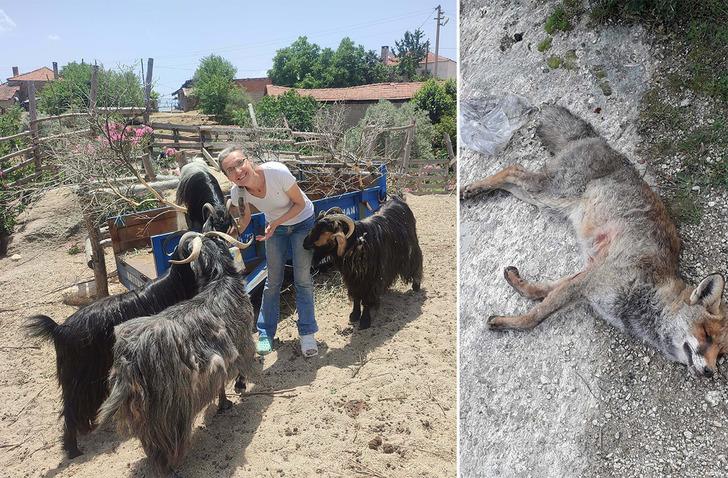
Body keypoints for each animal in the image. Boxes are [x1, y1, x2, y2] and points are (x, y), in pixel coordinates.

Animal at [96, 231, 256, 474]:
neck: (220, 279)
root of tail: (129, 360)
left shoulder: (218, 364)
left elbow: (219, 384)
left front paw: (223, 404)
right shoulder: (243, 340)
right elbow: (240, 369)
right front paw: (238, 389)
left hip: (144, 410)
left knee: (150, 442)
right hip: (168, 407)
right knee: (165, 443)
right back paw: (172, 466)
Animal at [302, 198, 426, 328]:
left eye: (324, 231)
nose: (304, 243)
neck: (358, 243)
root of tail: (397, 199)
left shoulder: (370, 279)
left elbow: (367, 299)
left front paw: (365, 321)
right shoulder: (352, 279)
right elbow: (356, 297)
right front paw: (354, 315)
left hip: (411, 246)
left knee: (417, 260)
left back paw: (416, 285)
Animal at [464, 104, 724, 378]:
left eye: (721, 354)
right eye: (705, 334)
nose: (710, 373)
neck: (649, 292)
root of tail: (596, 139)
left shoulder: (586, 275)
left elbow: (542, 291)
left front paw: (519, 284)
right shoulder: (589, 281)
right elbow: (534, 317)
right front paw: (507, 322)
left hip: (544, 200)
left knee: (511, 180)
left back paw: (476, 190)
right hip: (550, 192)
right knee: (513, 168)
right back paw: (470, 189)